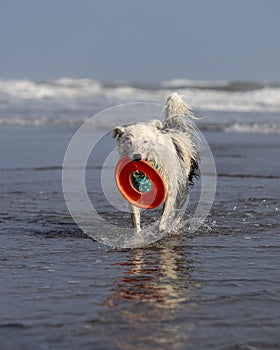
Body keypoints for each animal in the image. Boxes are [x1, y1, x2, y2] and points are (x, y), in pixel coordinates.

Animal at [111, 93, 199, 232]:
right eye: (129, 142)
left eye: (145, 141)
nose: (137, 157)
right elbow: (135, 217)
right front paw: (138, 235)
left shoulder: (171, 188)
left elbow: (164, 218)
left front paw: (161, 229)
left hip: (183, 182)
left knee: (179, 208)